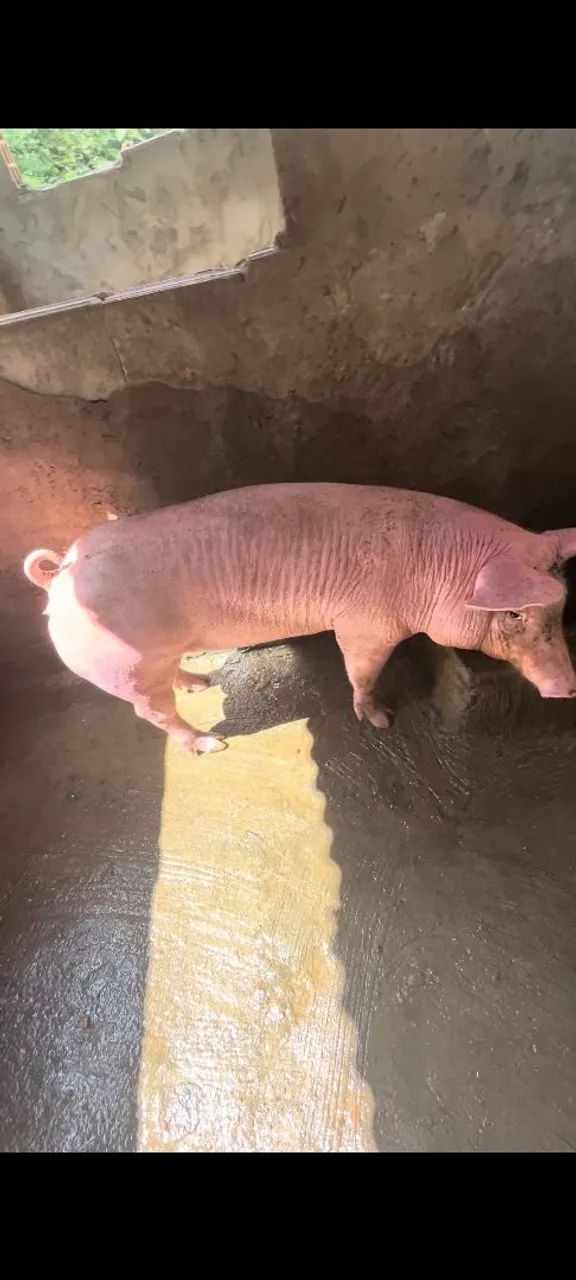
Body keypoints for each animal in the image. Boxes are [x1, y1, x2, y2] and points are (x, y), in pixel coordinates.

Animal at [23, 483, 576, 754]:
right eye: (512, 614)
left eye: (561, 607)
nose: (568, 688)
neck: (446, 571)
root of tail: (60, 575)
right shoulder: (367, 623)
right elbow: (362, 669)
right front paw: (380, 719)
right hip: (127, 666)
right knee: (151, 713)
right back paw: (211, 744)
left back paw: (200, 682)